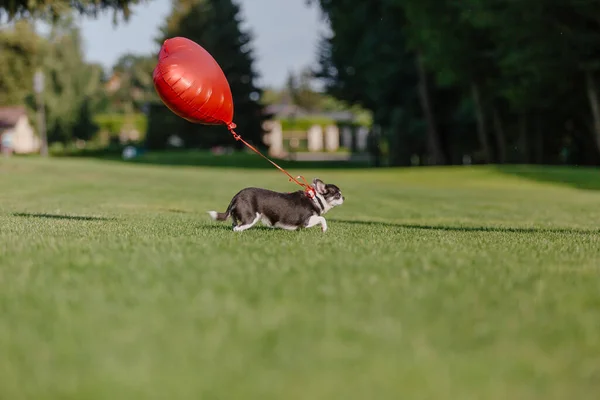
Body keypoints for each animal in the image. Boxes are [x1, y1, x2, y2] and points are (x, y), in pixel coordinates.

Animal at [209, 177, 344, 231]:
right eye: (337, 194)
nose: (344, 197)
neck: (315, 198)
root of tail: (236, 196)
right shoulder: (307, 221)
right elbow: (322, 219)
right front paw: (324, 229)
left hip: (237, 217)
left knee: (234, 225)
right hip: (251, 218)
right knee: (237, 228)